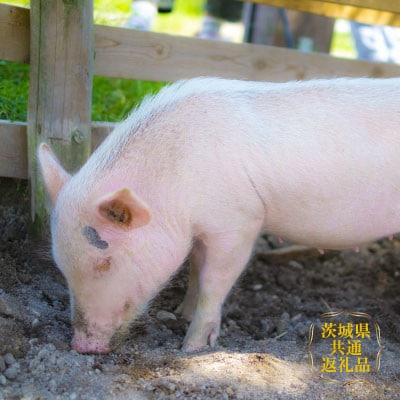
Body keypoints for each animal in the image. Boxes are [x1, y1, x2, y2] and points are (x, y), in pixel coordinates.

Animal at [39, 76, 400, 354]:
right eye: (61, 265)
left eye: (105, 262)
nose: (81, 347)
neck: (176, 184)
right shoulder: (200, 230)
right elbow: (196, 268)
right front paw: (180, 313)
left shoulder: (240, 221)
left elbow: (214, 280)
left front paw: (191, 348)